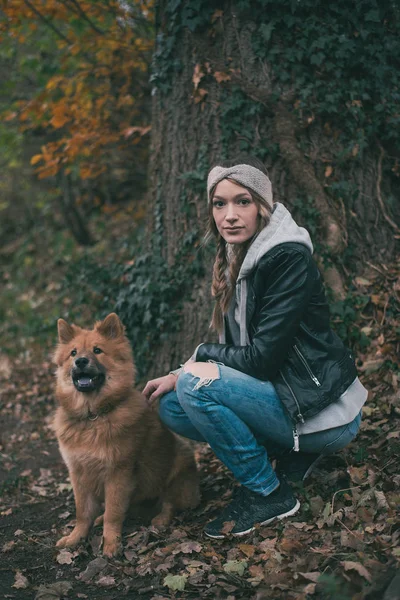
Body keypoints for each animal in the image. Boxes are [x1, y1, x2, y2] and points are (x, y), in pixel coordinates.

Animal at [53, 314, 200, 556]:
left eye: (97, 350)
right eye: (73, 353)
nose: (80, 361)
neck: (93, 415)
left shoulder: (118, 472)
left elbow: (113, 512)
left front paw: (111, 543)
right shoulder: (78, 472)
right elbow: (82, 512)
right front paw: (76, 537)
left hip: (179, 463)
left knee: (169, 502)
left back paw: (160, 519)